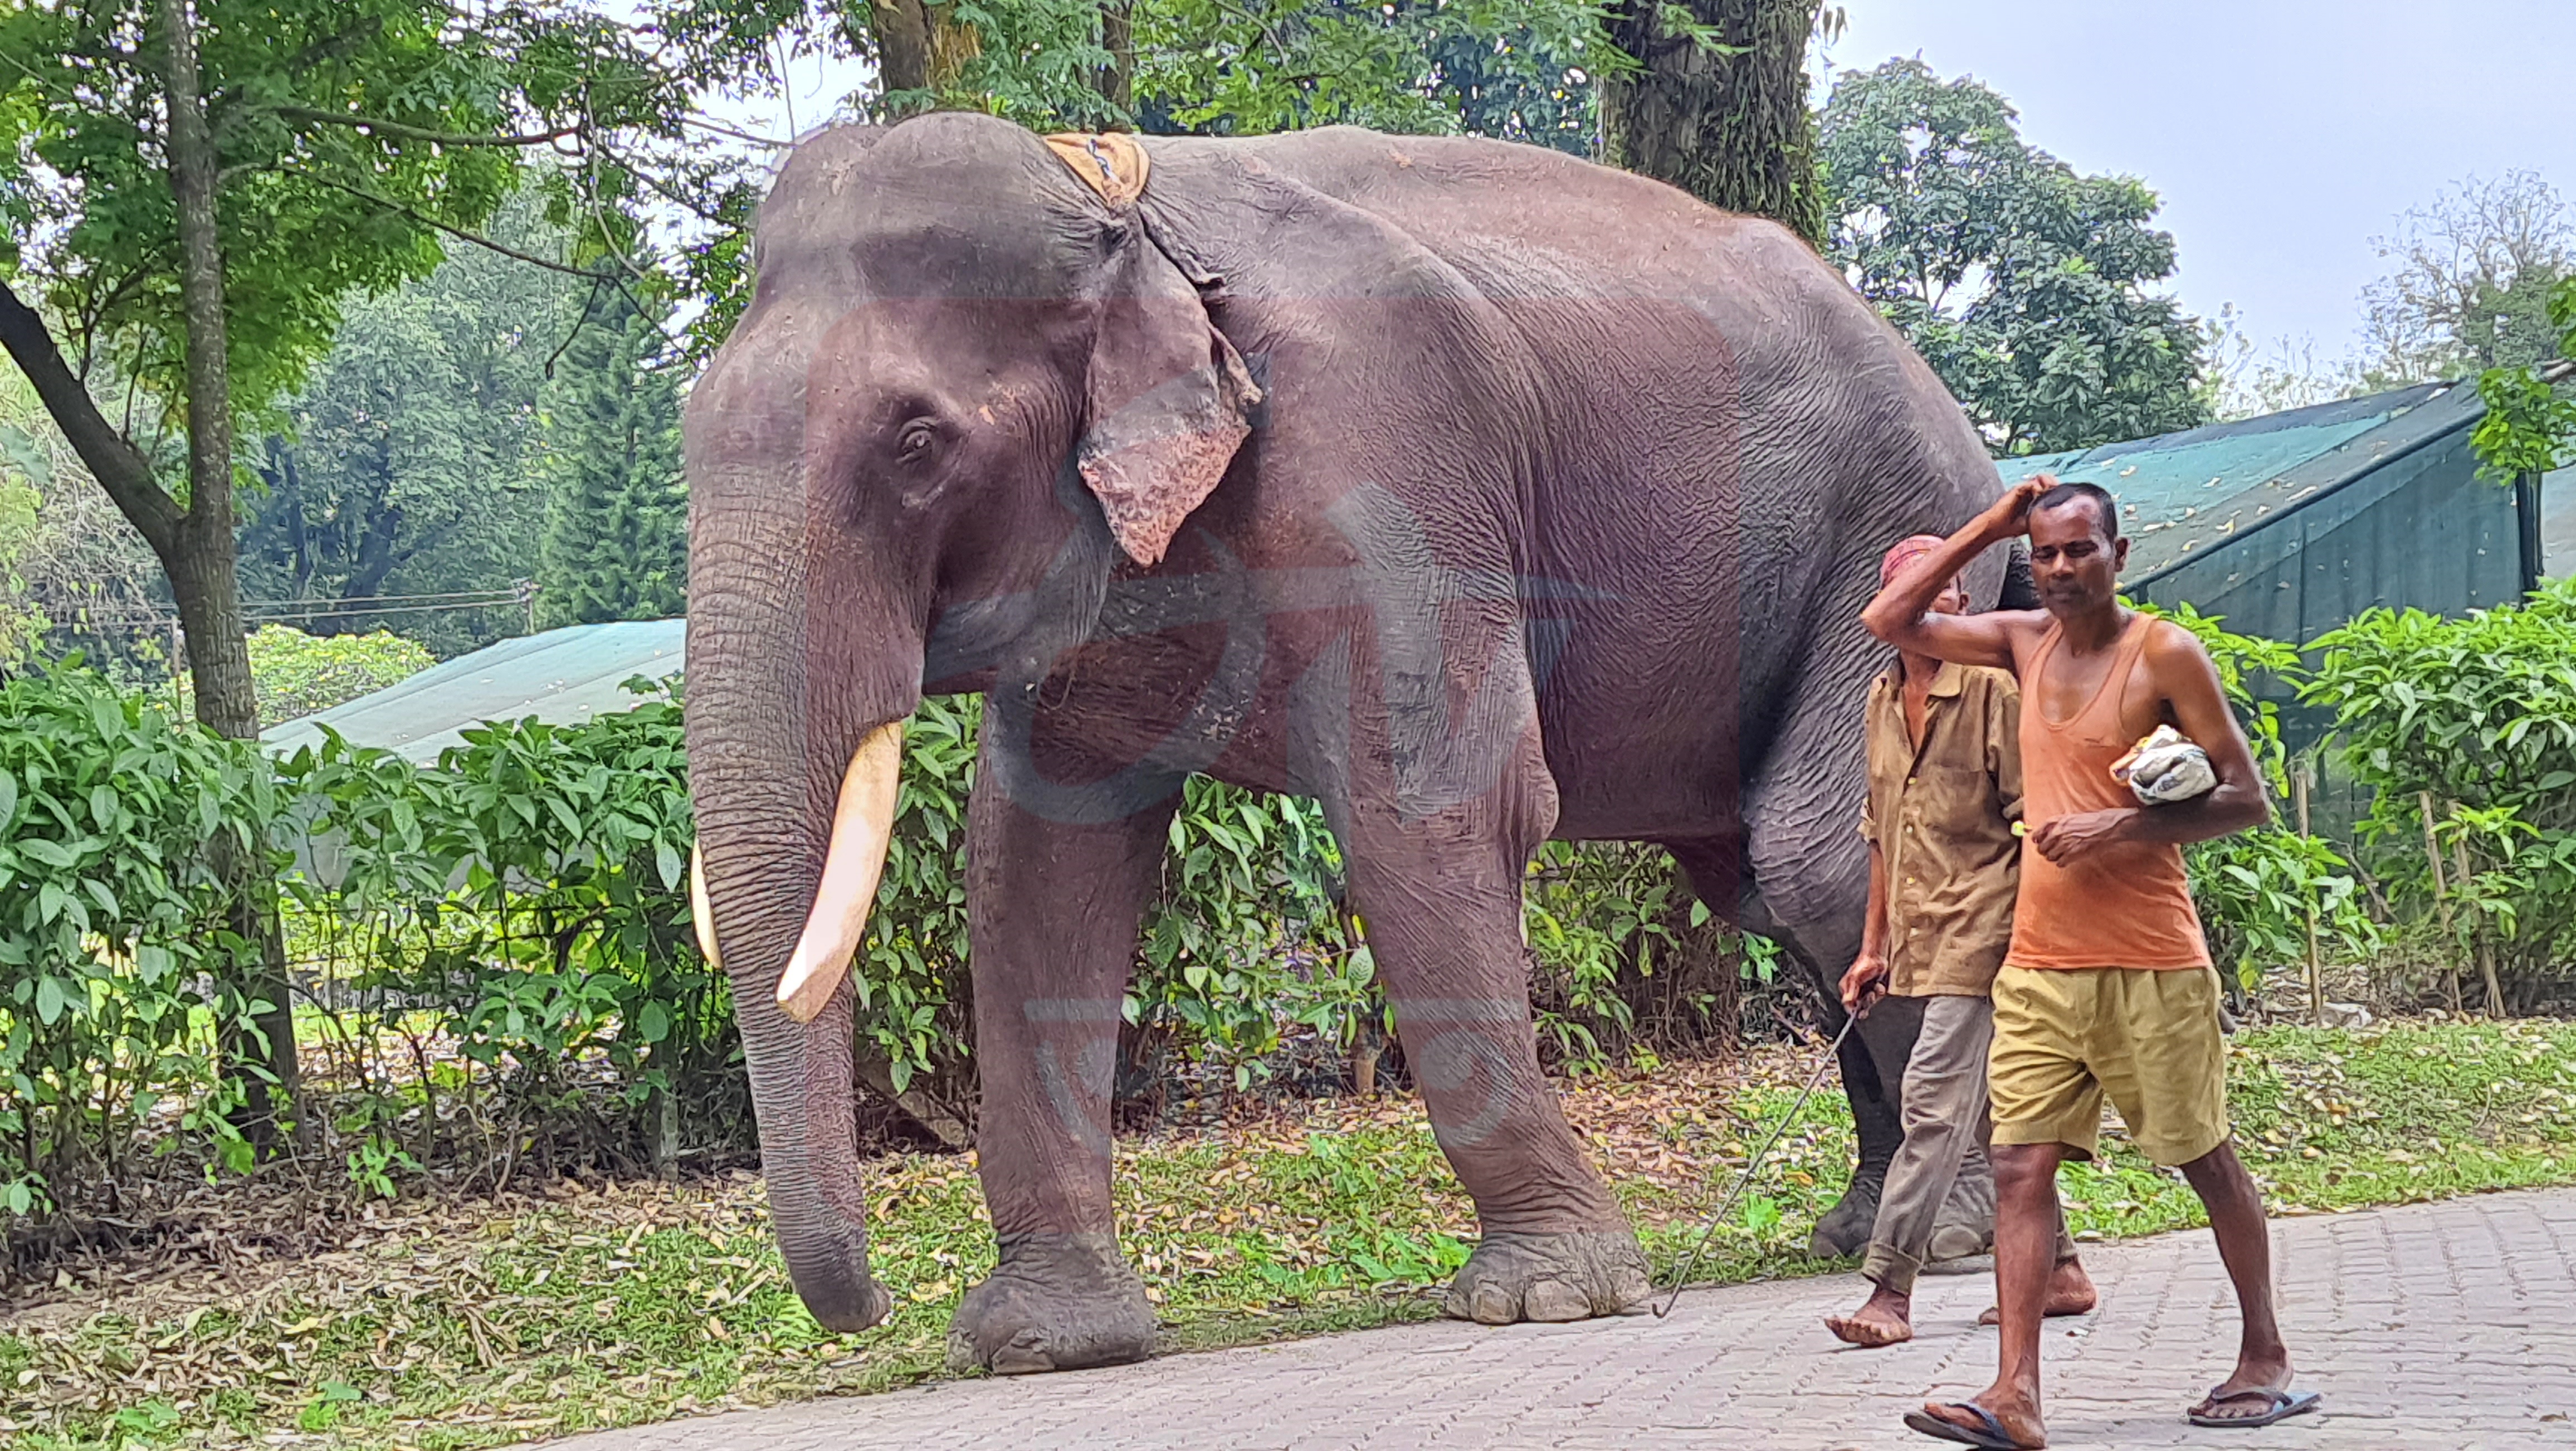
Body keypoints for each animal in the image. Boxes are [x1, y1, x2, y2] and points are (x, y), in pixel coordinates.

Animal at [690, 113, 2029, 1371]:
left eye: (916, 445)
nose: (868, 1310)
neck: (1119, 207)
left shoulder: (1388, 451)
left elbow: (1438, 805)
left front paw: (1547, 1298)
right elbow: (1036, 867)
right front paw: (1035, 1344)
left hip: (1902, 537)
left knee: (1817, 862)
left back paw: (1944, 1237)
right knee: (1768, 883)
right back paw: (1860, 1230)